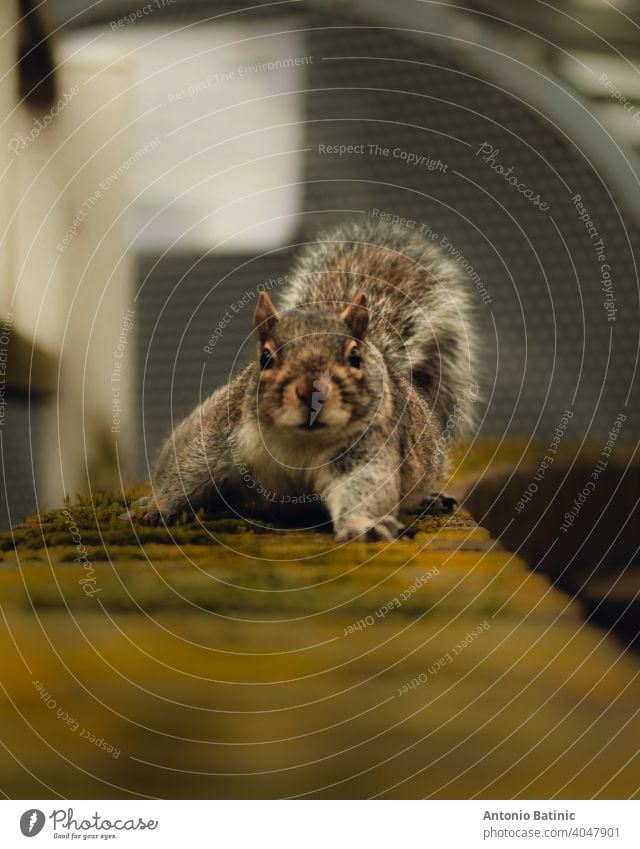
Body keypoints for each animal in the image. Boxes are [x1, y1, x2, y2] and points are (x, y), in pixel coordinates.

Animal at [136, 219, 476, 536]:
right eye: (265, 357)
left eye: (355, 357)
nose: (312, 392)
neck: (299, 440)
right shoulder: (223, 434)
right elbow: (190, 473)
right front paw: (157, 508)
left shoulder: (366, 449)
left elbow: (363, 488)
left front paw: (362, 526)